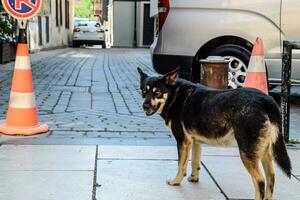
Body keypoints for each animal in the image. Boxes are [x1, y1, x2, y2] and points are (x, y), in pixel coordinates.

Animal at [138, 67, 290, 200]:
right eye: (144, 92)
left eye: (157, 92)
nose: (145, 106)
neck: (174, 95)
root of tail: (265, 99)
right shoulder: (195, 141)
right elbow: (195, 162)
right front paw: (193, 178)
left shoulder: (182, 141)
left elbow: (181, 164)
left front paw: (176, 181)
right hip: (263, 151)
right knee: (271, 177)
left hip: (247, 153)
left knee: (260, 181)